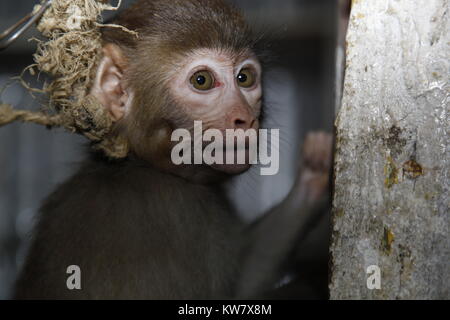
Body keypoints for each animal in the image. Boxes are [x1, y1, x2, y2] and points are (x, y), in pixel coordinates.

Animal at [13, 0, 334, 300]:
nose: (244, 118)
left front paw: (315, 175)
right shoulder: (167, 207)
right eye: (202, 80)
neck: (138, 165)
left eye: (245, 78)